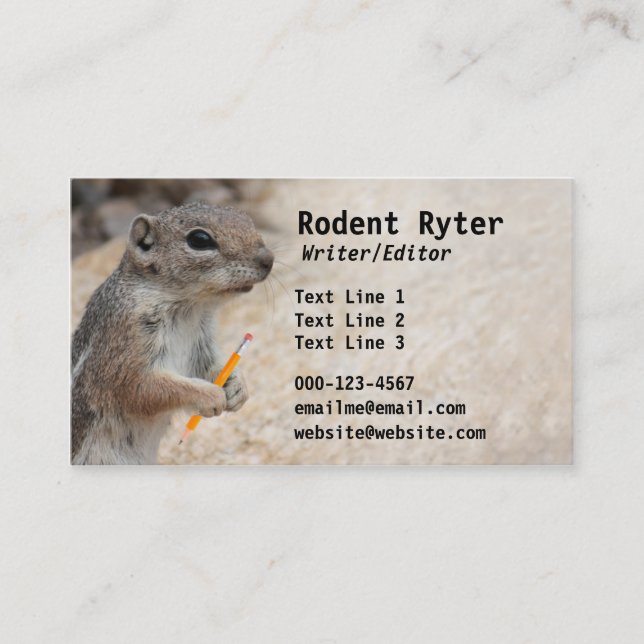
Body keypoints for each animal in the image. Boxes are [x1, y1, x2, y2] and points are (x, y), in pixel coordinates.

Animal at [71, 203, 273, 465]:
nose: (269, 259)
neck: (190, 309)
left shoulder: (201, 346)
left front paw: (239, 387)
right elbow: (143, 388)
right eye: (199, 240)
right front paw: (209, 396)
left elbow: (213, 367)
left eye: (248, 219)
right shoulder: (123, 344)